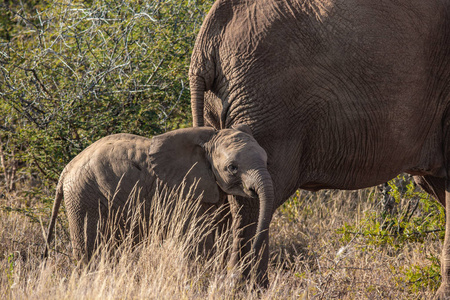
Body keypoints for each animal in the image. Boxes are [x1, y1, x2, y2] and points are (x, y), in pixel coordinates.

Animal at [44, 125, 274, 262]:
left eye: (266, 160)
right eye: (232, 168)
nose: (253, 252)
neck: (206, 140)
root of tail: (65, 171)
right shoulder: (182, 192)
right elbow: (197, 238)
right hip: (84, 197)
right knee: (90, 250)